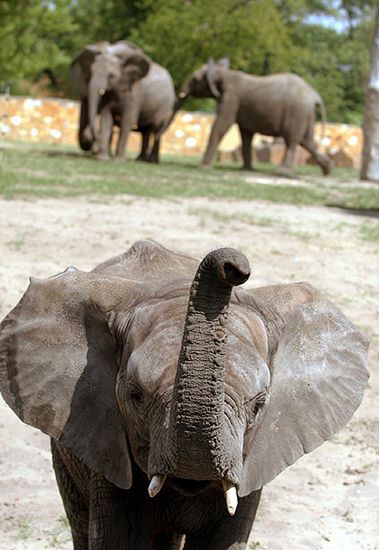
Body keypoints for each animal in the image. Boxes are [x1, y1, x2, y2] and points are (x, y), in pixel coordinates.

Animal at [178, 58, 332, 176]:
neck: (224, 72)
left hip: (297, 112)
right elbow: (245, 134)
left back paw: (282, 173)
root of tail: (315, 95)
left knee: (292, 140)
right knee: (307, 141)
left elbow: (222, 125)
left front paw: (203, 168)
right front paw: (246, 170)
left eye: (195, 79)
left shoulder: (231, 98)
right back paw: (327, 170)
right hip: (306, 114)